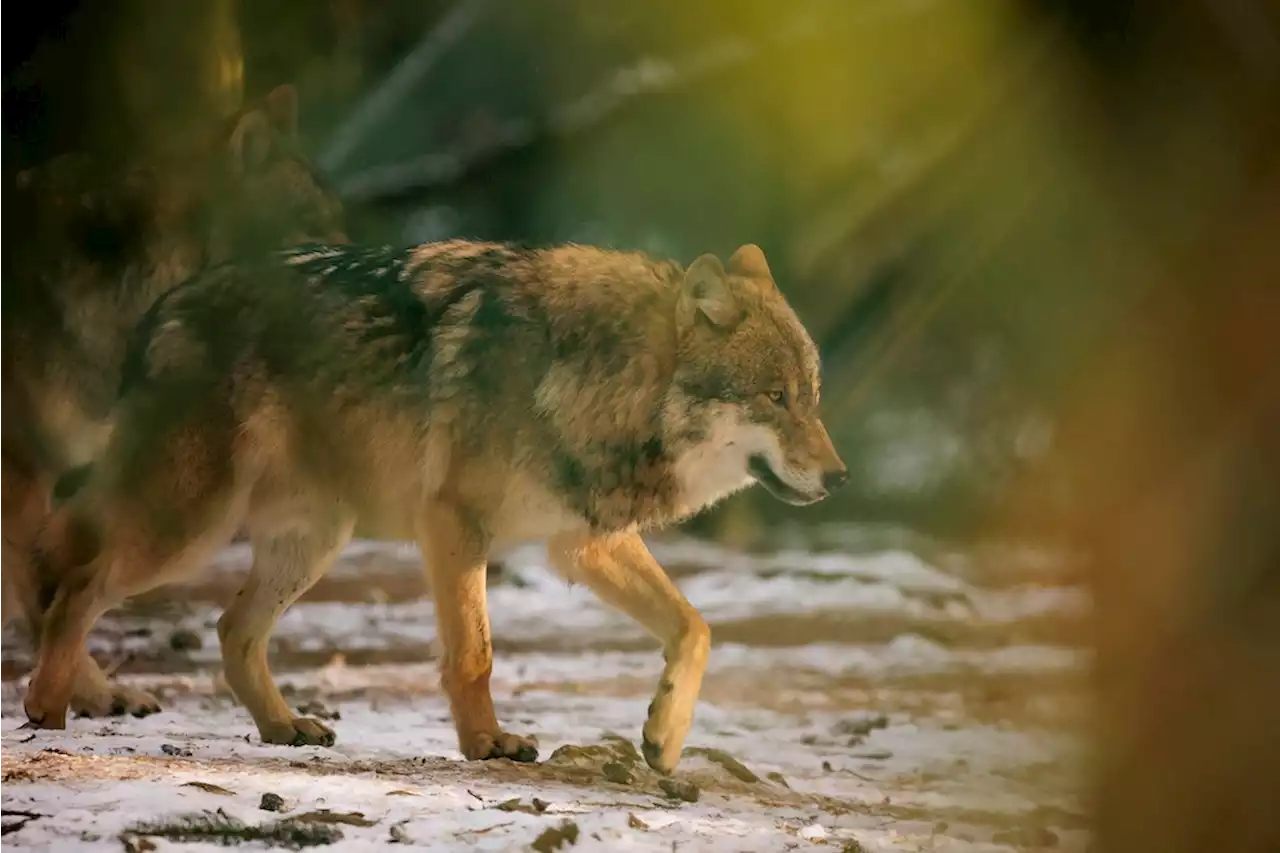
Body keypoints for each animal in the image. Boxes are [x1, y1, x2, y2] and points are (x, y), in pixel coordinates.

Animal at [20, 236, 849, 768]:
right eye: (775, 398)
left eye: (812, 397)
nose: (840, 476)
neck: (590, 375)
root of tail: (163, 306)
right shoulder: (454, 523)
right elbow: (475, 653)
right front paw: (487, 744)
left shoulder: (581, 543)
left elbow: (695, 626)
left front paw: (664, 736)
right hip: (191, 525)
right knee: (74, 585)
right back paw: (49, 712)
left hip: (313, 538)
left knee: (229, 628)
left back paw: (283, 726)